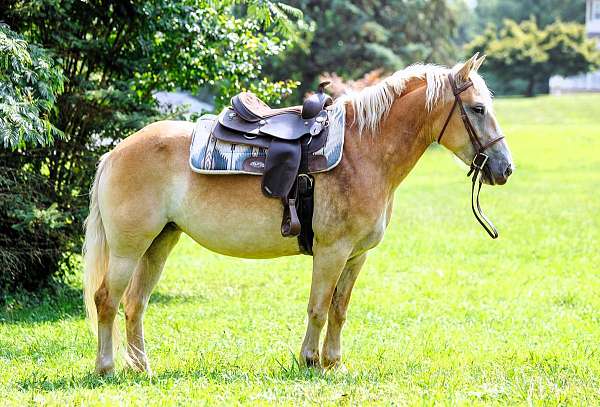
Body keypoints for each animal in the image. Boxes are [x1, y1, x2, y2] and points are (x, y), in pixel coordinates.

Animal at [83, 55, 516, 376]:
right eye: (478, 109)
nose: (505, 168)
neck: (363, 151)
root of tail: (115, 152)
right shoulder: (331, 251)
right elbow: (319, 308)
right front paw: (310, 361)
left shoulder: (356, 256)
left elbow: (339, 310)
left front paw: (334, 363)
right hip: (128, 249)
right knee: (107, 299)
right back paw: (107, 367)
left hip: (159, 243)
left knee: (135, 304)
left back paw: (142, 368)